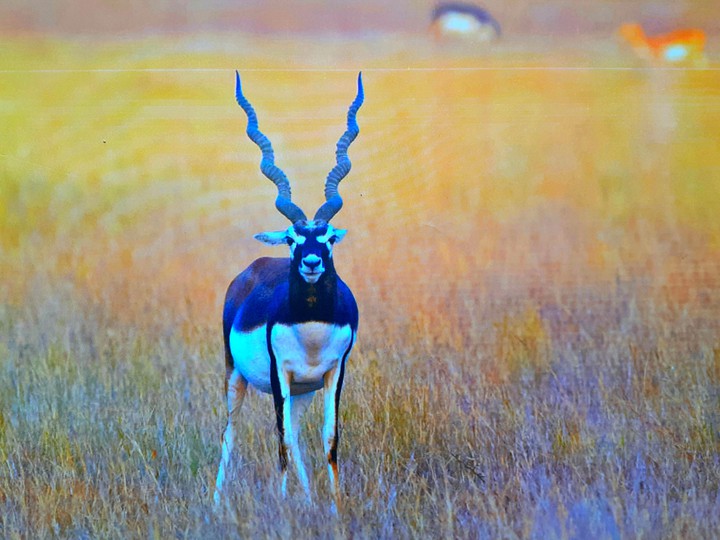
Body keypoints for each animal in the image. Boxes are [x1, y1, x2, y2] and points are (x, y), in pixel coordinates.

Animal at [214, 72, 363, 510]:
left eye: (327, 238)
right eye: (293, 239)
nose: (311, 263)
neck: (311, 325)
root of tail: (251, 269)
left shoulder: (333, 373)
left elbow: (329, 439)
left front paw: (335, 507)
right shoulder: (279, 373)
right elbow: (277, 440)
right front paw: (282, 506)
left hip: (303, 390)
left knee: (296, 436)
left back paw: (309, 501)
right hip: (236, 375)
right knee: (230, 433)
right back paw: (215, 504)